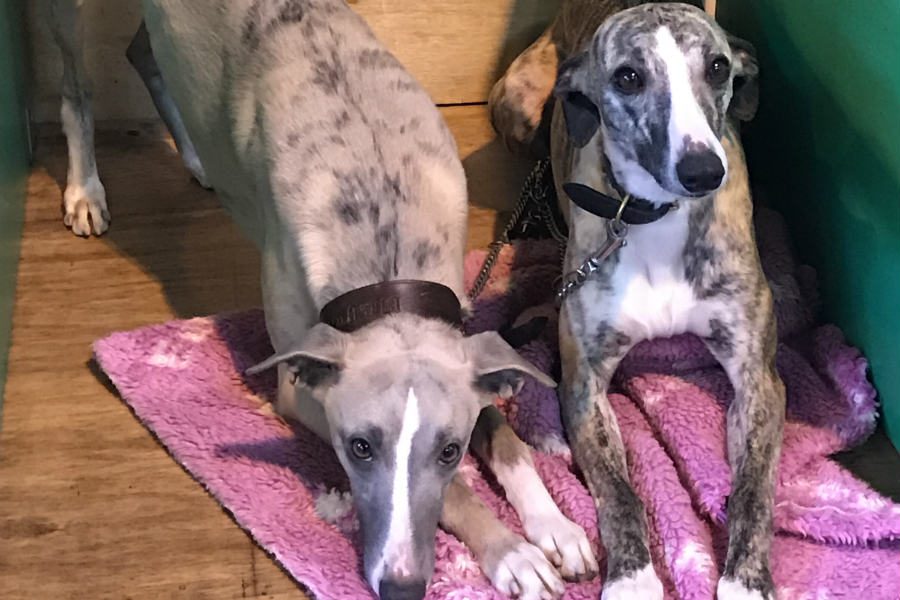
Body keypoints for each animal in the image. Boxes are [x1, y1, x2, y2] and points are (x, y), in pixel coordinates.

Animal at [61, 1, 612, 600]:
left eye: (450, 450)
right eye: (358, 447)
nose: (401, 587)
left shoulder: (461, 351)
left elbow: (503, 434)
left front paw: (554, 525)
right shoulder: (302, 390)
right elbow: (460, 494)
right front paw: (514, 554)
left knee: (142, 53)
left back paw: (195, 156)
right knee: (77, 88)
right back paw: (85, 190)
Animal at [488, 1, 784, 600]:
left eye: (718, 67)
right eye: (627, 77)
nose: (703, 172)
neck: (655, 215)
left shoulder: (758, 378)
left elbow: (753, 488)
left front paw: (745, 579)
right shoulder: (584, 386)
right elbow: (619, 492)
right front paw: (632, 577)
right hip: (516, 106)